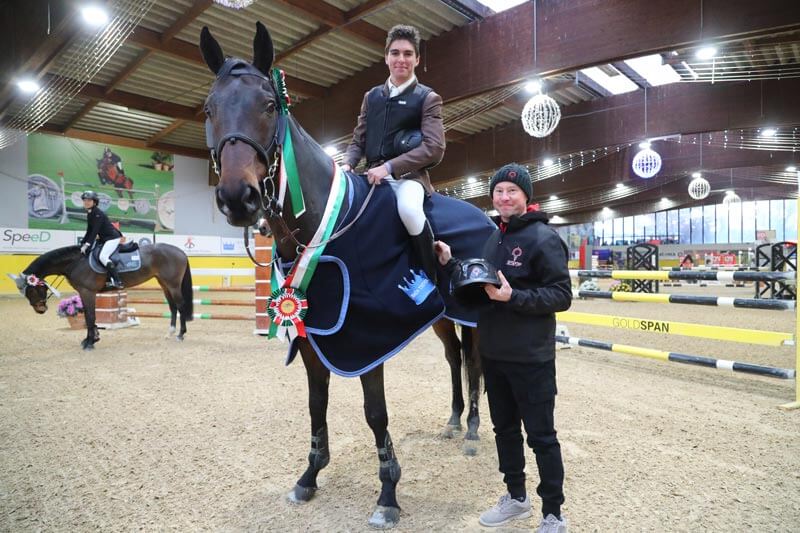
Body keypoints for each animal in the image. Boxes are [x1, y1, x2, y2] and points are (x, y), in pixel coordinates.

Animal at [12, 243, 194, 350]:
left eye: (31, 290)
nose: (40, 309)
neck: (76, 262)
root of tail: (180, 251)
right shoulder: (84, 293)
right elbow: (88, 316)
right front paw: (92, 339)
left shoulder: (87, 292)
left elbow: (91, 317)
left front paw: (90, 342)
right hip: (164, 283)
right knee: (173, 307)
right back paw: (170, 333)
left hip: (173, 284)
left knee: (180, 305)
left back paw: (181, 334)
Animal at [201, 22, 488, 528]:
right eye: (209, 109)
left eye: (269, 105)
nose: (238, 198)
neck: (324, 227)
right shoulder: (312, 333)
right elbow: (317, 403)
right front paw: (309, 477)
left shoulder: (366, 339)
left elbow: (375, 413)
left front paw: (388, 495)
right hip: (439, 319)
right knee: (454, 358)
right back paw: (454, 421)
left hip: (471, 315)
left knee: (472, 362)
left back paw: (472, 428)